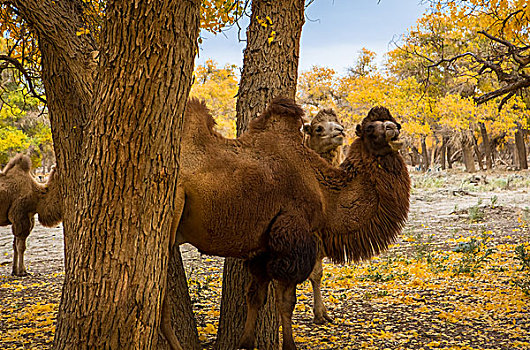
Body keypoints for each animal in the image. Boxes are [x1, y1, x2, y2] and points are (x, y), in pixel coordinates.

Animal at [161, 96, 408, 350]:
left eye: (393, 121)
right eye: (370, 129)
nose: (394, 129)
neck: (324, 192)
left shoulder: (262, 248)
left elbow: (255, 296)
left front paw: (246, 342)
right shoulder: (292, 240)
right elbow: (286, 302)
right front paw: (289, 344)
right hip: (172, 207)